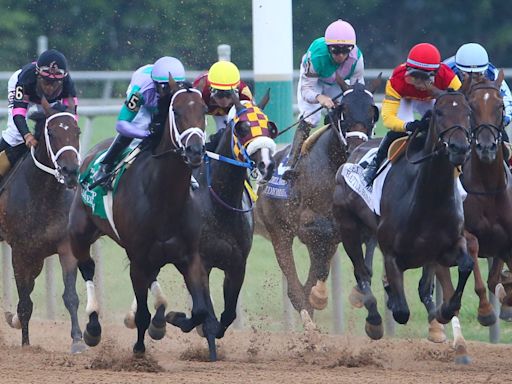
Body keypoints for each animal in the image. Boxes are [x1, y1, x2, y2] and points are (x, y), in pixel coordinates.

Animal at [0, 97, 83, 352]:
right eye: (52, 132)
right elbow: (25, 301)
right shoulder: (20, 251)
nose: (70, 171)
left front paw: (78, 340)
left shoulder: (65, 246)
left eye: (77, 131)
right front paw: (26, 345)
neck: (44, 193)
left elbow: (70, 296)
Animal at [67, 77, 212, 356]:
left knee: (152, 277)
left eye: (204, 110)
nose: (195, 151)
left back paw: (160, 318)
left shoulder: (190, 256)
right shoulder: (137, 258)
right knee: (87, 267)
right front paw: (139, 351)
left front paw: (173, 318)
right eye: (176, 111)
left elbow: (199, 311)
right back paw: (93, 327)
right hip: (79, 232)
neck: (164, 196)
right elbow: (143, 314)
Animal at [254, 76, 382, 330]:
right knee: (295, 286)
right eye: (343, 110)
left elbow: (366, 261)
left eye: (372, 112)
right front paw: (320, 296)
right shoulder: (310, 227)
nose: (356, 146)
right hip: (279, 233)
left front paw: (358, 292)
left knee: (307, 282)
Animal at [334, 88, 474, 340]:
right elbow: (401, 311)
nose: (459, 148)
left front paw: (445, 311)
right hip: (348, 228)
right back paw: (374, 319)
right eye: (439, 113)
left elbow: (465, 265)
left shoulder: (447, 246)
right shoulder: (391, 254)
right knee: (362, 273)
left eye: (468, 112)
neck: (429, 200)